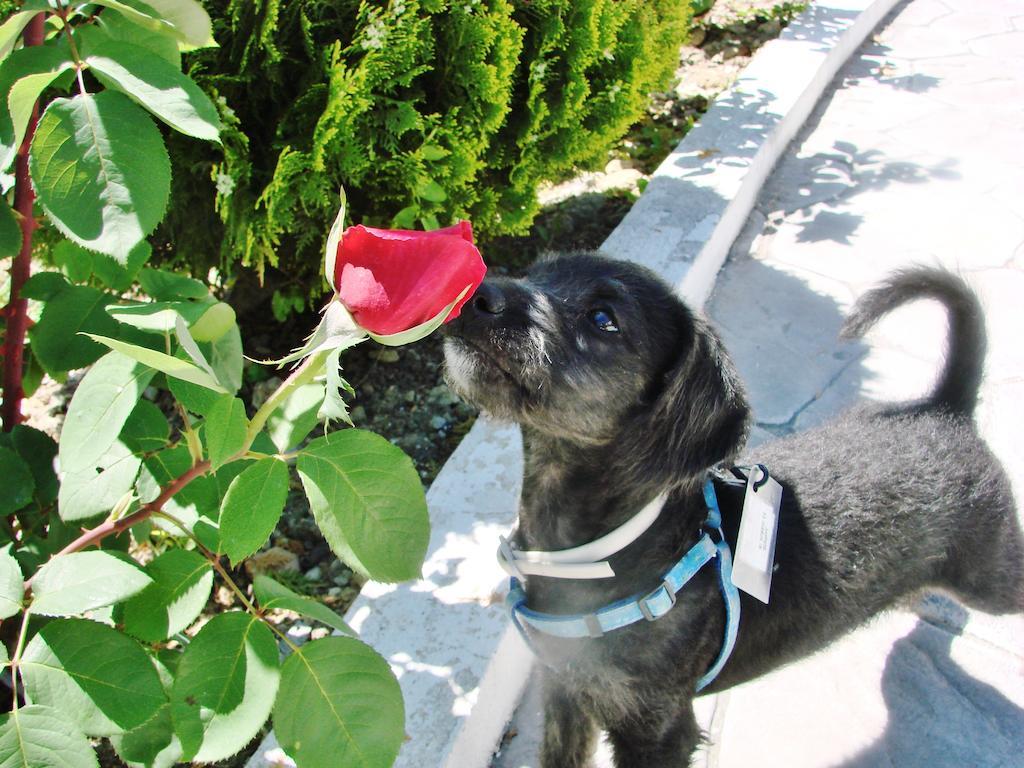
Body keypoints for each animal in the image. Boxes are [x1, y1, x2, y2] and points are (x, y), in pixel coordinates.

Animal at [442, 257, 1024, 768]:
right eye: (536, 273)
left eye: (603, 318)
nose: (477, 294)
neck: (596, 557)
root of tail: (948, 409)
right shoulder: (564, 691)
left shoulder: (658, 730)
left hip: (992, 577)